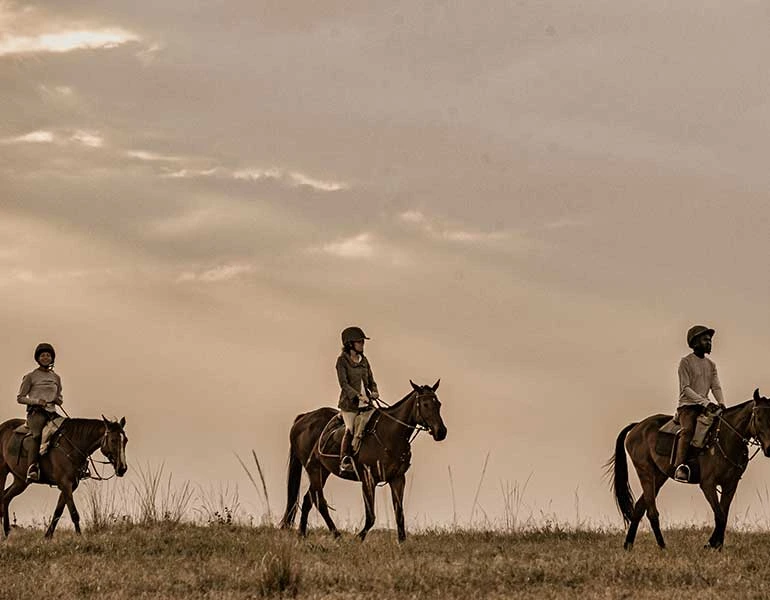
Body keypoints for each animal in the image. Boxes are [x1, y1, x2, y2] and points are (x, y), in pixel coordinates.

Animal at [0, 415, 128, 538]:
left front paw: (47, 536)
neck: (72, 445)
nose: (122, 468)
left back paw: (7, 532)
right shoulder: (65, 484)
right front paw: (79, 537)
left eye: (125, 440)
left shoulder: (70, 485)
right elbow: (74, 513)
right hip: (3, 473)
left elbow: (58, 512)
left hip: (21, 481)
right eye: (113, 440)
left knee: (6, 498)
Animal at [279, 380, 447, 542]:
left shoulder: (398, 479)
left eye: (438, 404)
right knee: (319, 502)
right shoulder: (368, 479)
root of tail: (304, 418)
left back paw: (302, 535)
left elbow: (399, 513)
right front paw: (358, 538)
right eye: (425, 404)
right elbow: (371, 517)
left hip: (323, 471)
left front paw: (402, 542)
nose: (441, 432)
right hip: (313, 469)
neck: (390, 434)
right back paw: (337, 536)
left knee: (308, 499)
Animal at [608, 389, 770, 550]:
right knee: (651, 512)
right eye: (758, 418)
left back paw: (628, 545)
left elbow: (724, 514)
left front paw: (717, 546)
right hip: (645, 472)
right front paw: (711, 545)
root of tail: (637, 426)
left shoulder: (730, 485)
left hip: (659, 476)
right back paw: (662, 547)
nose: (769, 449)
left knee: (639, 508)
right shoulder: (708, 484)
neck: (725, 438)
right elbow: (719, 516)